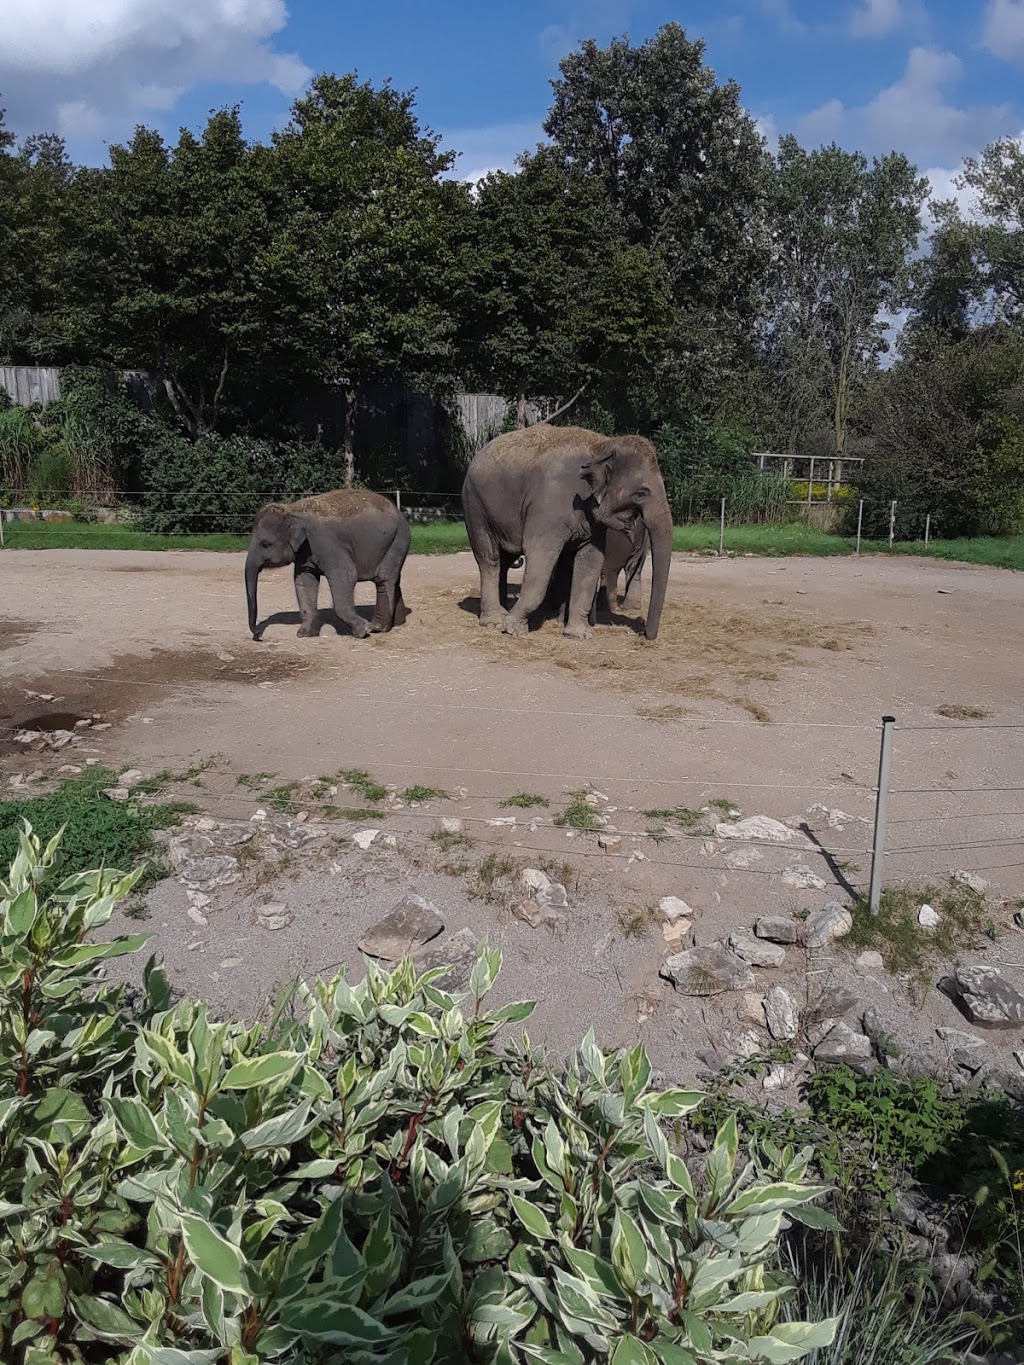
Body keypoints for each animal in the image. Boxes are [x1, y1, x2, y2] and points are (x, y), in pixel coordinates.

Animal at [247, 491, 412, 638]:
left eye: (265, 544)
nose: (258, 634)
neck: (291, 510)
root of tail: (399, 512)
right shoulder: (305, 553)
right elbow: (304, 582)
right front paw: (305, 634)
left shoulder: (329, 546)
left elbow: (346, 577)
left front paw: (363, 630)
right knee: (393, 580)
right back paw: (398, 623)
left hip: (398, 540)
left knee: (383, 578)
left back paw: (377, 628)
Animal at [464, 425, 674, 638]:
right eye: (641, 493)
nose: (646, 635)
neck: (602, 446)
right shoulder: (548, 507)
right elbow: (540, 557)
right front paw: (515, 629)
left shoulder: (591, 520)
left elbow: (591, 562)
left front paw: (579, 634)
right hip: (475, 507)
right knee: (489, 558)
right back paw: (495, 621)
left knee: (504, 559)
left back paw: (502, 611)